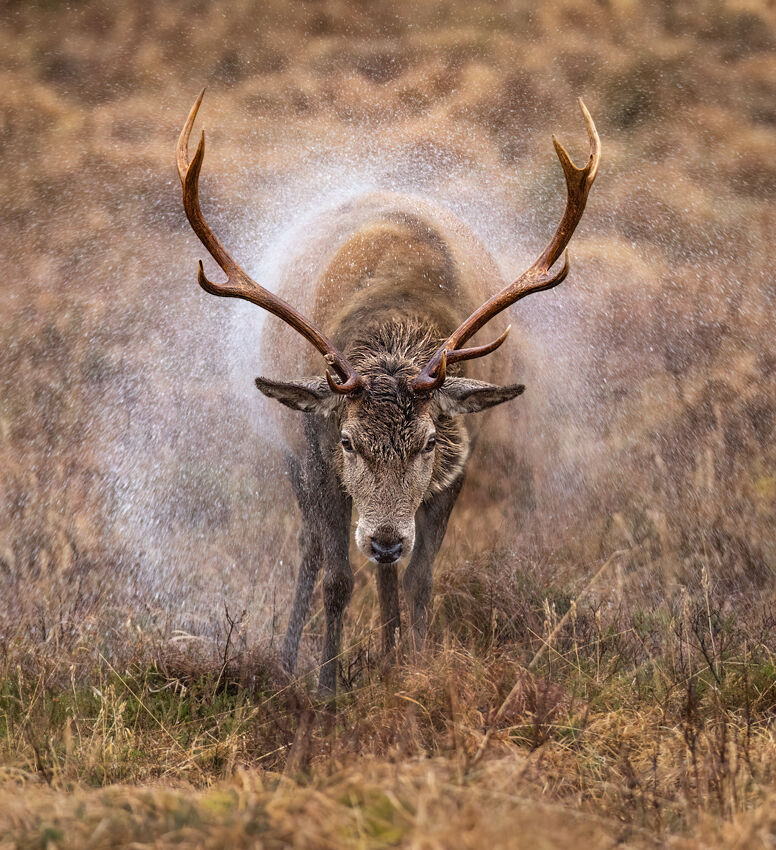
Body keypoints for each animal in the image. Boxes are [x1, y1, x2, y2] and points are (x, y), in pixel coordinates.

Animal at [177, 91, 600, 693]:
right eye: (348, 441)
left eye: (428, 442)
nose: (384, 541)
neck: (395, 327)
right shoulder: (318, 452)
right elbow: (336, 578)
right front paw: (327, 688)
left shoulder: (456, 462)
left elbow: (421, 579)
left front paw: (415, 669)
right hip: (293, 453)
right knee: (310, 546)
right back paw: (290, 659)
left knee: (385, 574)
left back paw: (389, 645)